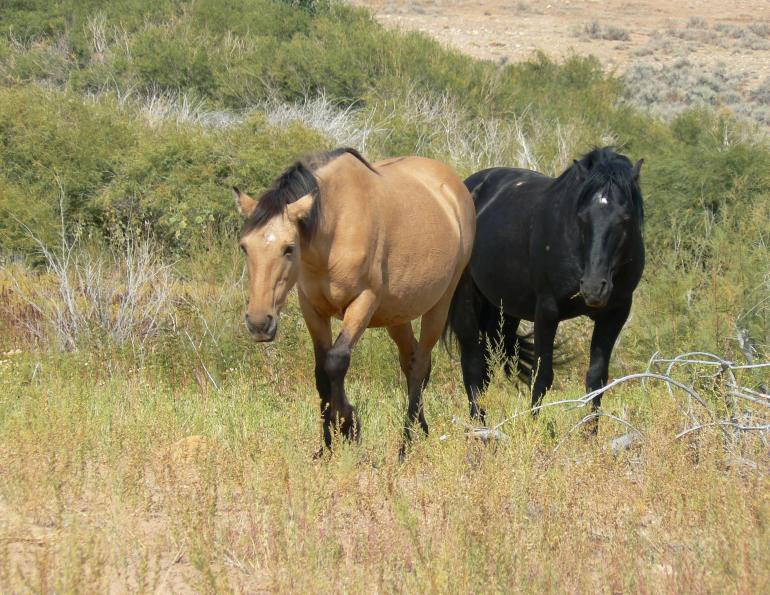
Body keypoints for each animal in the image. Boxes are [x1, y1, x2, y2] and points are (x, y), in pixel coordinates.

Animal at [234, 148, 475, 455]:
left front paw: (349, 425)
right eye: (245, 246)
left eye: (288, 248)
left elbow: (336, 361)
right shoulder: (313, 309)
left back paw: (405, 444)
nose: (258, 323)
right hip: (398, 314)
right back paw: (421, 431)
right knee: (411, 363)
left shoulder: (363, 302)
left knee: (420, 363)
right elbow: (321, 372)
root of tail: (455, 189)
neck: (336, 225)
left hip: (439, 304)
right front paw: (327, 445)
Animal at [444, 147, 645, 431]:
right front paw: (535, 430)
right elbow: (542, 376)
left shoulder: (615, 313)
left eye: (625, 219)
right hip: (466, 302)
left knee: (486, 366)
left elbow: (597, 379)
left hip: (504, 313)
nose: (594, 287)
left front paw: (590, 434)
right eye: (582, 217)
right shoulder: (547, 311)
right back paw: (480, 432)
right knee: (473, 367)